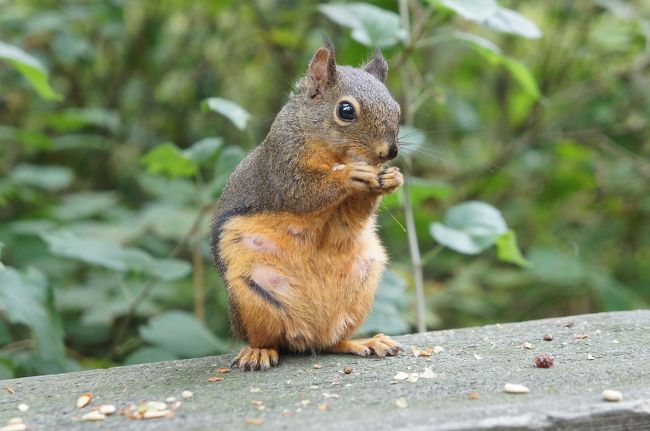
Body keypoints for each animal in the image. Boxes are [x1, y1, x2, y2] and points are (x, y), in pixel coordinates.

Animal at [210, 41, 402, 372]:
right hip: (251, 295)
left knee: (334, 341)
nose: (389, 152)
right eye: (346, 110)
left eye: (397, 109)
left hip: (361, 288)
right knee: (270, 339)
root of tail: (309, 335)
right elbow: (303, 193)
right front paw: (350, 175)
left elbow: (354, 216)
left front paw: (392, 177)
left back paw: (365, 342)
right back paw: (258, 352)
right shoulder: (283, 168)